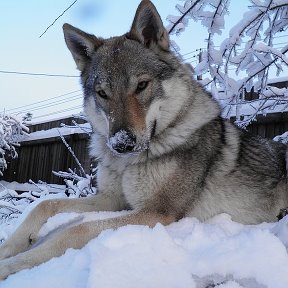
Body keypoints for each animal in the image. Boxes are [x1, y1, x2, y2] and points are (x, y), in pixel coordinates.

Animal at [0, 0, 288, 280]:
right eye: (102, 93)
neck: (128, 163)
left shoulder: (157, 212)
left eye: (141, 85)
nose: (122, 143)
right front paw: (10, 247)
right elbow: (45, 204)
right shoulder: (112, 199)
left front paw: (13, 265)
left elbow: (76, 230)